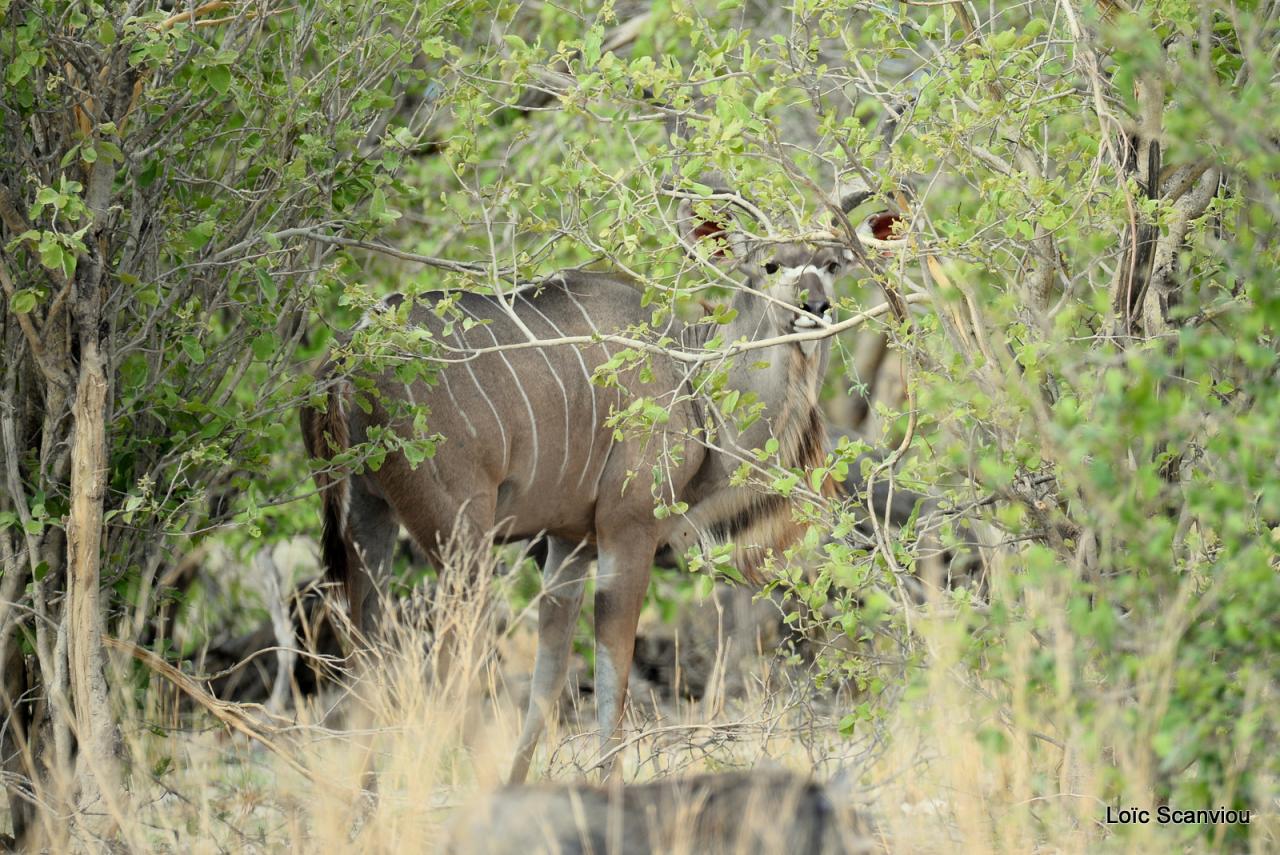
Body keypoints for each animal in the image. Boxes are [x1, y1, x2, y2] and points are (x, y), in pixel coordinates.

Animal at [304, 184, 875, 783]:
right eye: (770, 264)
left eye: (832, 264)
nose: (815, 308)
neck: (693, 380)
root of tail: (343, 364)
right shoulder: (629, 529)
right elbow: (611, 672)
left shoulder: (570, 541)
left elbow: (548, 675)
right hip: (459, 536)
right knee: (447, 663)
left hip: (367, 518)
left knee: (365, 655)